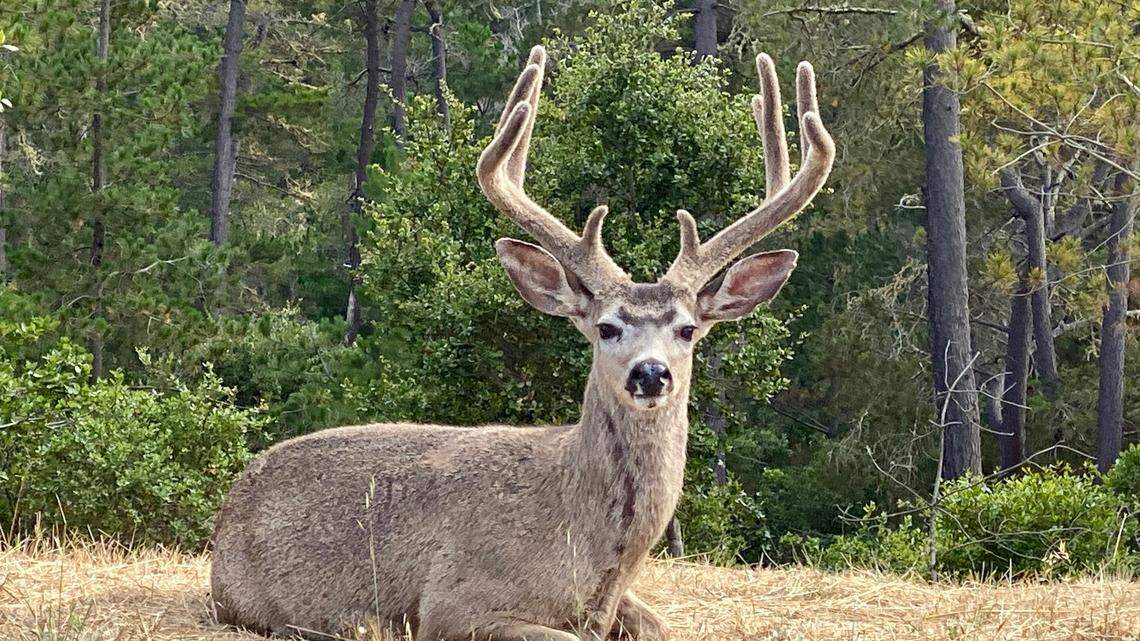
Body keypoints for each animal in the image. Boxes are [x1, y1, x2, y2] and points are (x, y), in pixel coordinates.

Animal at [209, 45, 834, 641]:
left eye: (687, 328)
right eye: (606, 327)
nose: (651, 373)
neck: (591, 556)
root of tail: (233, 501)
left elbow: (659, 625)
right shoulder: (454, 602)